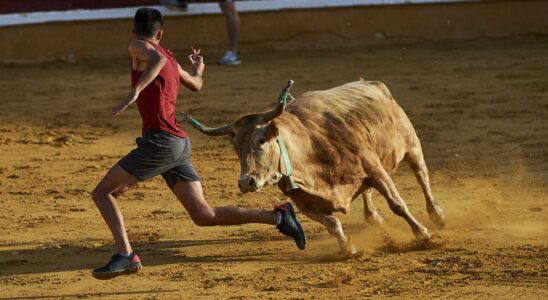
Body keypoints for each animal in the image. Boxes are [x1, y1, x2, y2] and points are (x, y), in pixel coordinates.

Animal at [184, 79, 446, 255]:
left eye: (261, 140)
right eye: (236, 147)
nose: (245, 181)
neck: (310, 150)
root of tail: (372, 83)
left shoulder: (374, 169)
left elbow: (397, 205)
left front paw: (423, 235)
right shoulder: (306, 203)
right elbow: (332, 223)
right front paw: (347, 248)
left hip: (412, 145)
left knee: (422, 177)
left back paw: (437, 215)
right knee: (367, 192)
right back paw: (372, 217)